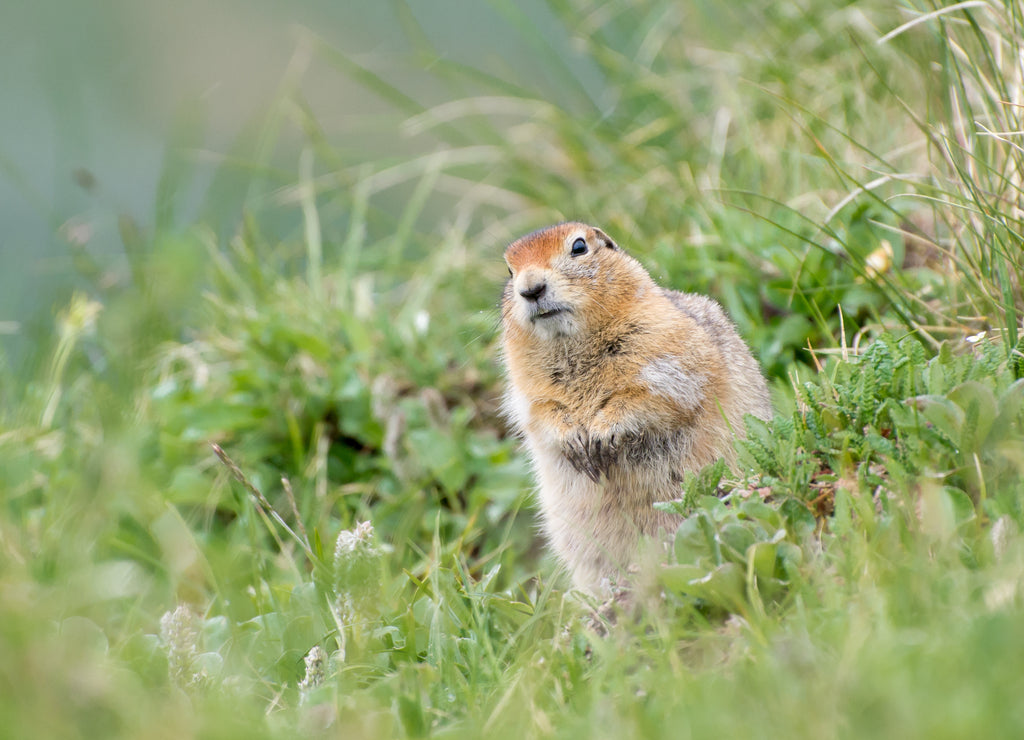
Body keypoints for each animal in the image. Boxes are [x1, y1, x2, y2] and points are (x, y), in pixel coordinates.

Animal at [499, 221, 770, 597]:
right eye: (509, 270)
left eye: (579, 247)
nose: (530, 289)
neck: (572, 347)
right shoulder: (527, 391)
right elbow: (540, 414)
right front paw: (574, 440)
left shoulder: (668, 349)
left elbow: (650, 396)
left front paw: (602, 435)